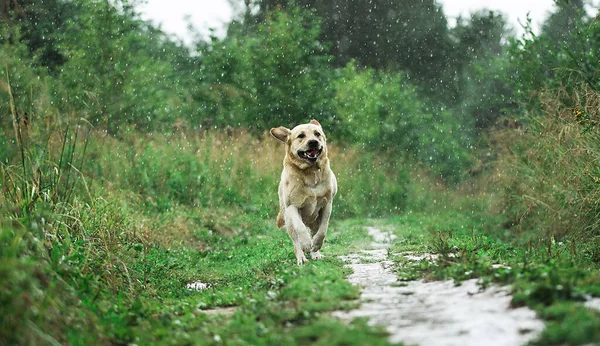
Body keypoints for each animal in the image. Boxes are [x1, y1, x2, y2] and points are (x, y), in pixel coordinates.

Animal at [270, 119, 338, 264]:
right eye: (301, 136)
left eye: (317, 134)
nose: (313, 142)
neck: (311, 171)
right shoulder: (292, 206)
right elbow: (300, 228)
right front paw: (306, 244)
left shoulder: (327, 204)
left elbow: (323, 229)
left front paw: (316, 245)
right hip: (288, 220)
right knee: (295, 240)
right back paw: (301, 257)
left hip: (314, 220)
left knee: (315, 231)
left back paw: (315, 253)